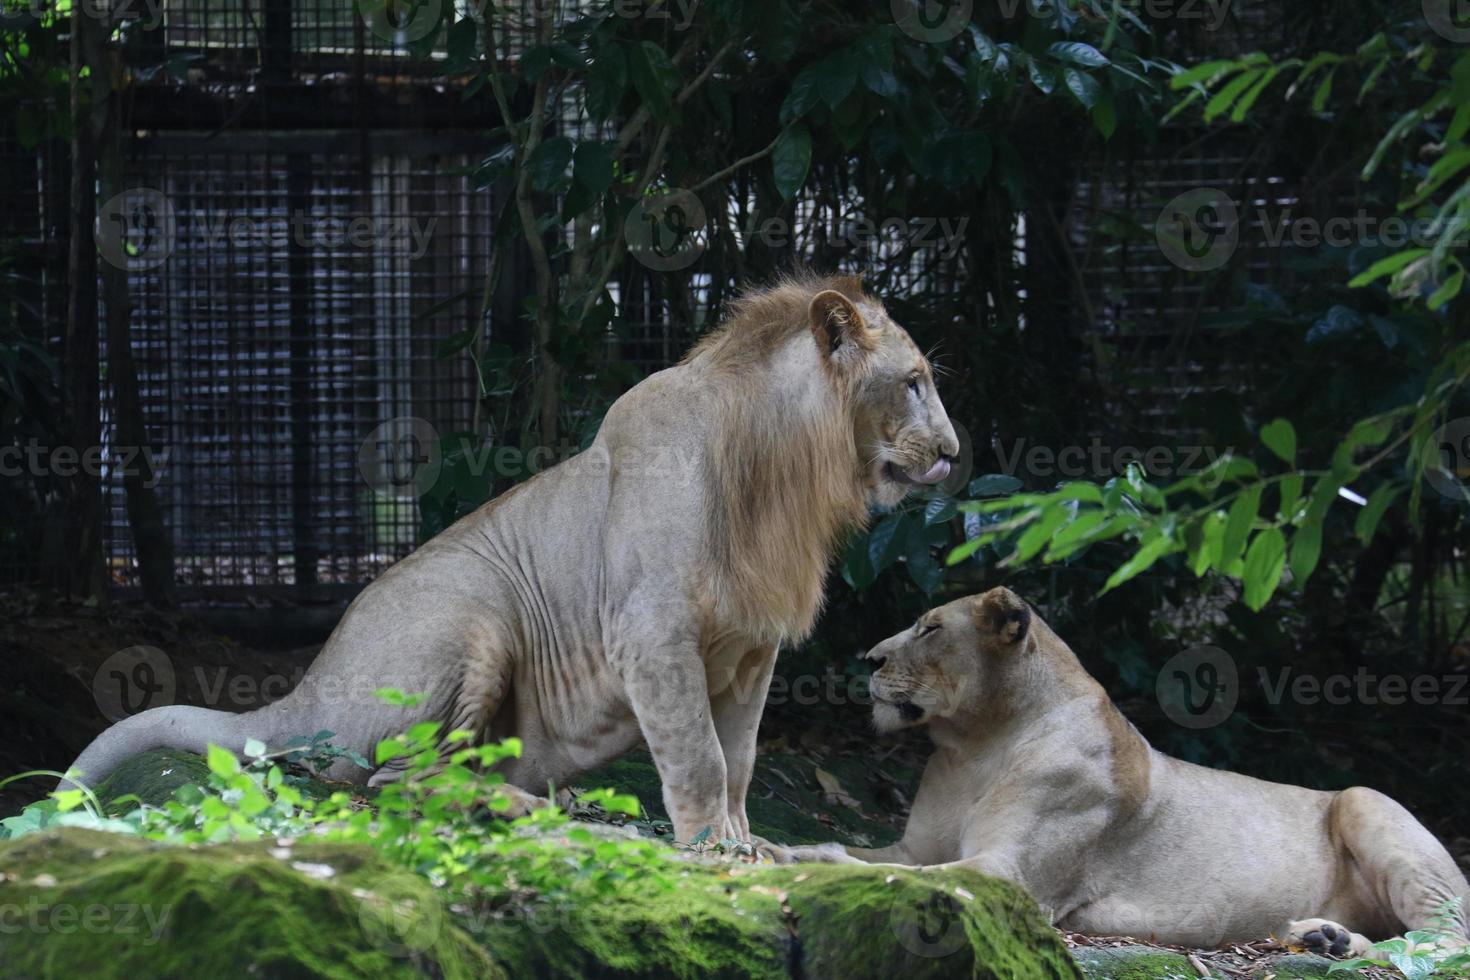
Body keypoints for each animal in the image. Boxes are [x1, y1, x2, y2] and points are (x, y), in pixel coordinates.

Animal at [63, 274, 964, 846]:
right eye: (915, 382)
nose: (956, 453)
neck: (785, 472)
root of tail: (307, 686)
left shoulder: (753, 651)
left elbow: (738, 760)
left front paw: (752, 845)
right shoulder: (651, 633)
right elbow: (699, 757)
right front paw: (715, 850)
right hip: (475, 616)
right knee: (392, 783)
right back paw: (535, 813)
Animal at [776, 590, 1464, 957]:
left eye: (931, 627)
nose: (868, 658)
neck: (975, 745)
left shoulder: (1012, 876)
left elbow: (898, 873)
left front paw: (808, 861)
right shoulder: (916, 845)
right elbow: (881, 856)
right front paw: (787, 845)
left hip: (1366, 797)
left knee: (1447, 936)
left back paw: (1335, 943)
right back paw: (1324, 937)